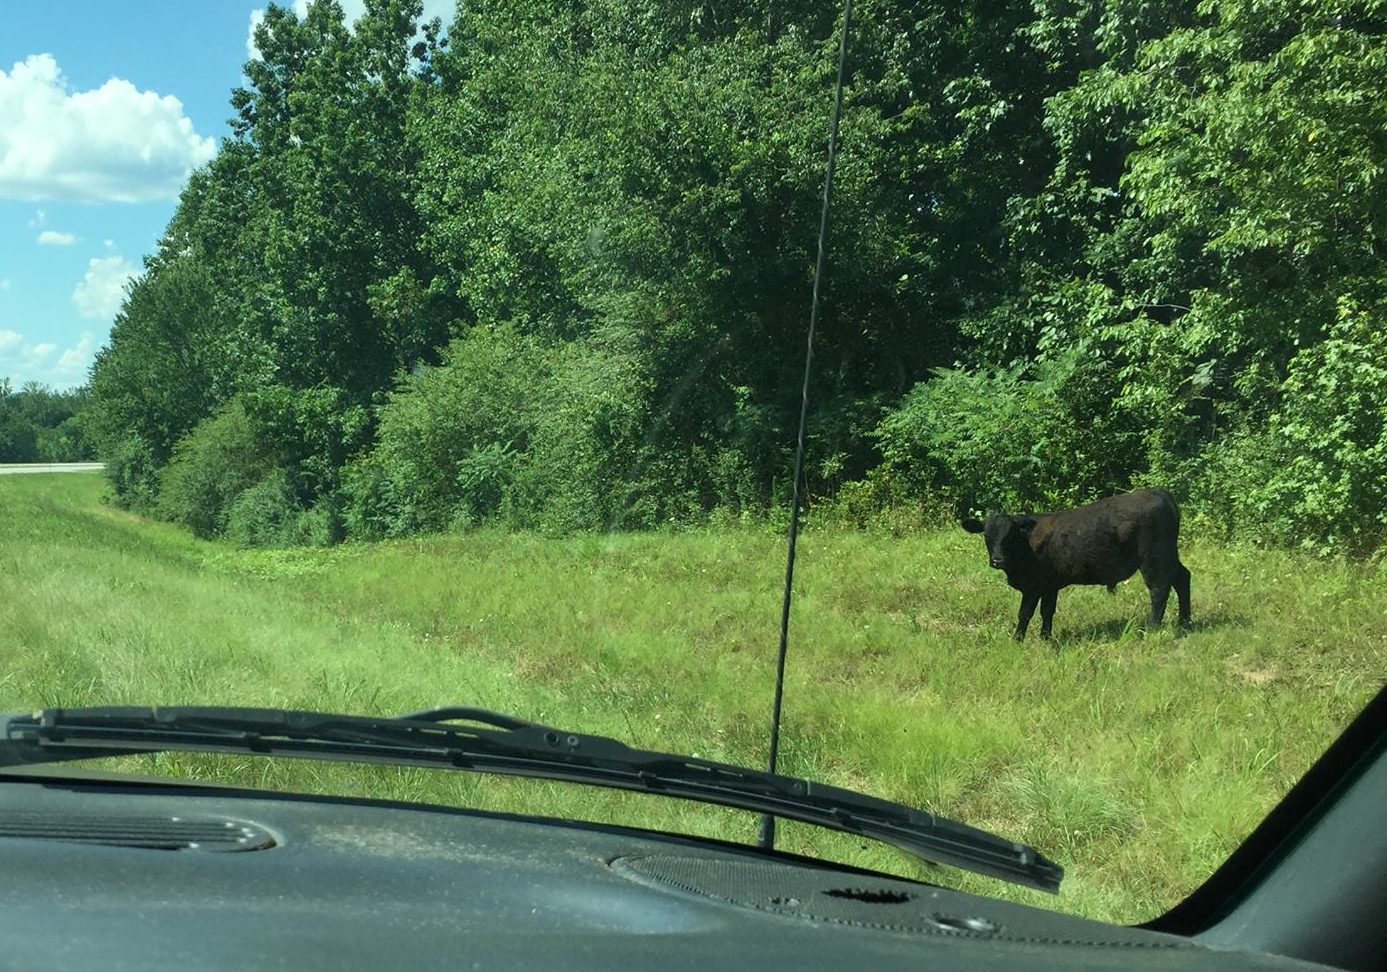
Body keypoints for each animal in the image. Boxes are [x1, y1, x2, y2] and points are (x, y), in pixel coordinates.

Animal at [961, 488, 1191, 641]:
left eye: (1010, 535)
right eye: (987, 536)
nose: (997, 560)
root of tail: (1158, 492)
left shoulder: (1033, 586)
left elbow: (1024, 613)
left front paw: (1017, 640)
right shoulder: (1050, 586)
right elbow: (1047, 611)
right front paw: (1045, 638)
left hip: (1154, 558)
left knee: (1159, 590)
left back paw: (1151, 629)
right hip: (1169, 556)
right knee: (1183, 578)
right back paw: (1184, 624)